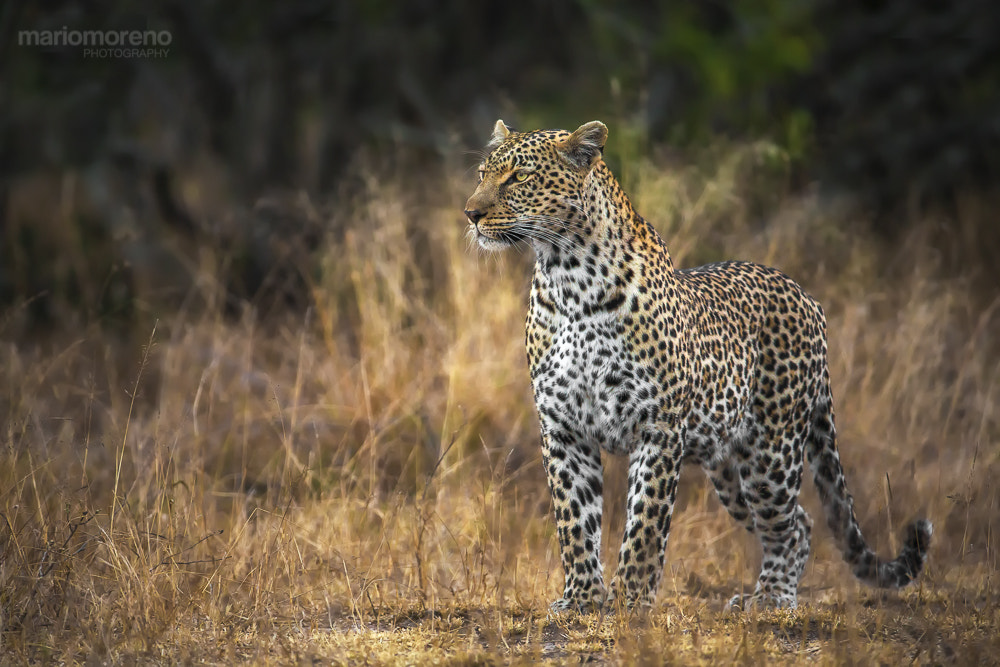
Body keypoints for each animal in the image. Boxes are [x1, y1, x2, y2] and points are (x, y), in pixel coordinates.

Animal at [464, 118, 932, 612]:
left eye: (519, 177)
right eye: (482, 174)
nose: (470, 213)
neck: (568, 278)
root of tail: (806, 295)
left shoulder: (659, 427)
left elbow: (645, 523)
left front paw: (630, 601)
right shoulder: (563, 429)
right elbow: (574, 520)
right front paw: (583, 599)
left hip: (771, 455)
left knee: (790, 526)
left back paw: (771, 598)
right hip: (729, 467)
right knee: (801, 522)